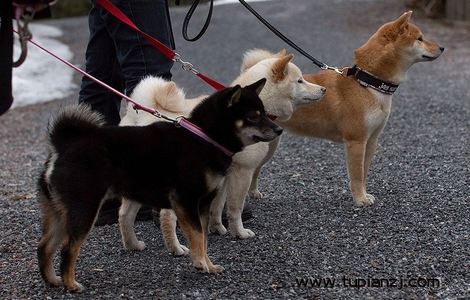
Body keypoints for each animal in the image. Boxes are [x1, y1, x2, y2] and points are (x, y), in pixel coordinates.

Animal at [36, 78, 280, 292]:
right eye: (253, 116)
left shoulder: (202, 204)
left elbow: (203, 238)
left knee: (44, 247)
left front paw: (208, 264)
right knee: (68, 249)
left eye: (264, 112)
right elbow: (197, 236)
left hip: (60, 212)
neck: (204, 137)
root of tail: (62, 147)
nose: (278, 130)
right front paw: (200, 263)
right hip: (84, 210)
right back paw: (70, 284)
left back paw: (53, 281)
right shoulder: (186, 201)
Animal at [117, 48, 324, 253]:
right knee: (166, 217)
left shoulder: (224, 176)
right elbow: (235, 208)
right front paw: (239, 233)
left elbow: (217, 207)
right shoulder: (243, 172)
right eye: (300, 81)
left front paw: (217, 228)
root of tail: (141, 116)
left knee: (125, 215)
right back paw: (176, 248)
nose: (323, 89)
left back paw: (132, 244)